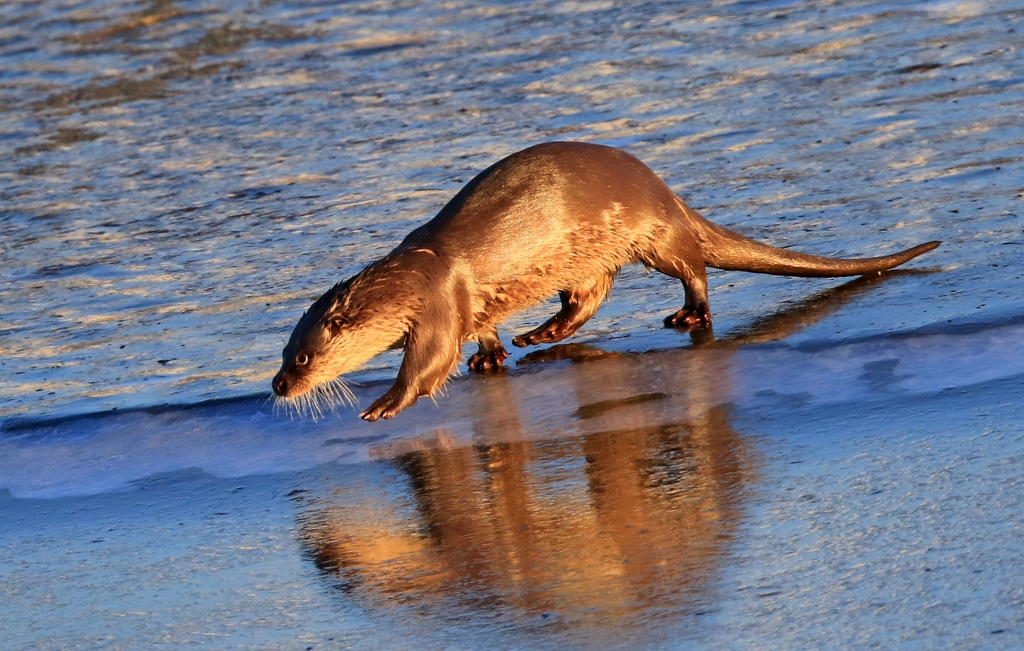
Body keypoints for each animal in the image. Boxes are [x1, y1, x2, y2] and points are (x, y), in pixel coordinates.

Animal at [270, 141, 937, 421]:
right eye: (283, 354)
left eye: (302, 358)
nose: (277, 386)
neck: (408, 276)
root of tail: (666, 192)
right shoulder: (472, 306)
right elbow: (482, 330)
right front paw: (491, 356)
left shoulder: (439, 302)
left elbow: (430, 362)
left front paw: (384, 403)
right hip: (590, 256)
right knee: (589, 297)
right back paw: (541, 335)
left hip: (651, 233)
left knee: (693, 269)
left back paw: (687, 314)